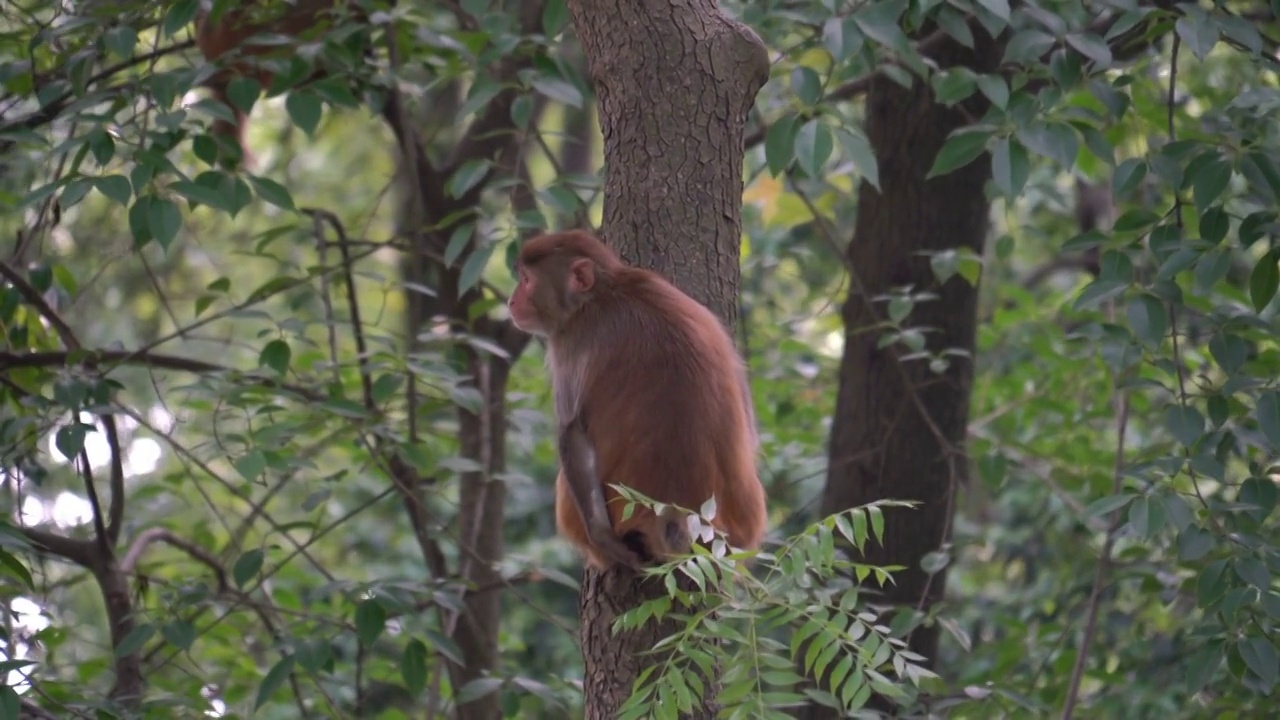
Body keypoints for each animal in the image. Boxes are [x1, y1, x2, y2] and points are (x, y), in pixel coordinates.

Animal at [506, 228, 768, 566]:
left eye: (526, 280)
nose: (512, 300)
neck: (605, 291)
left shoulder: (570, 340)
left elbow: (571, 430)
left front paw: (602, 538)